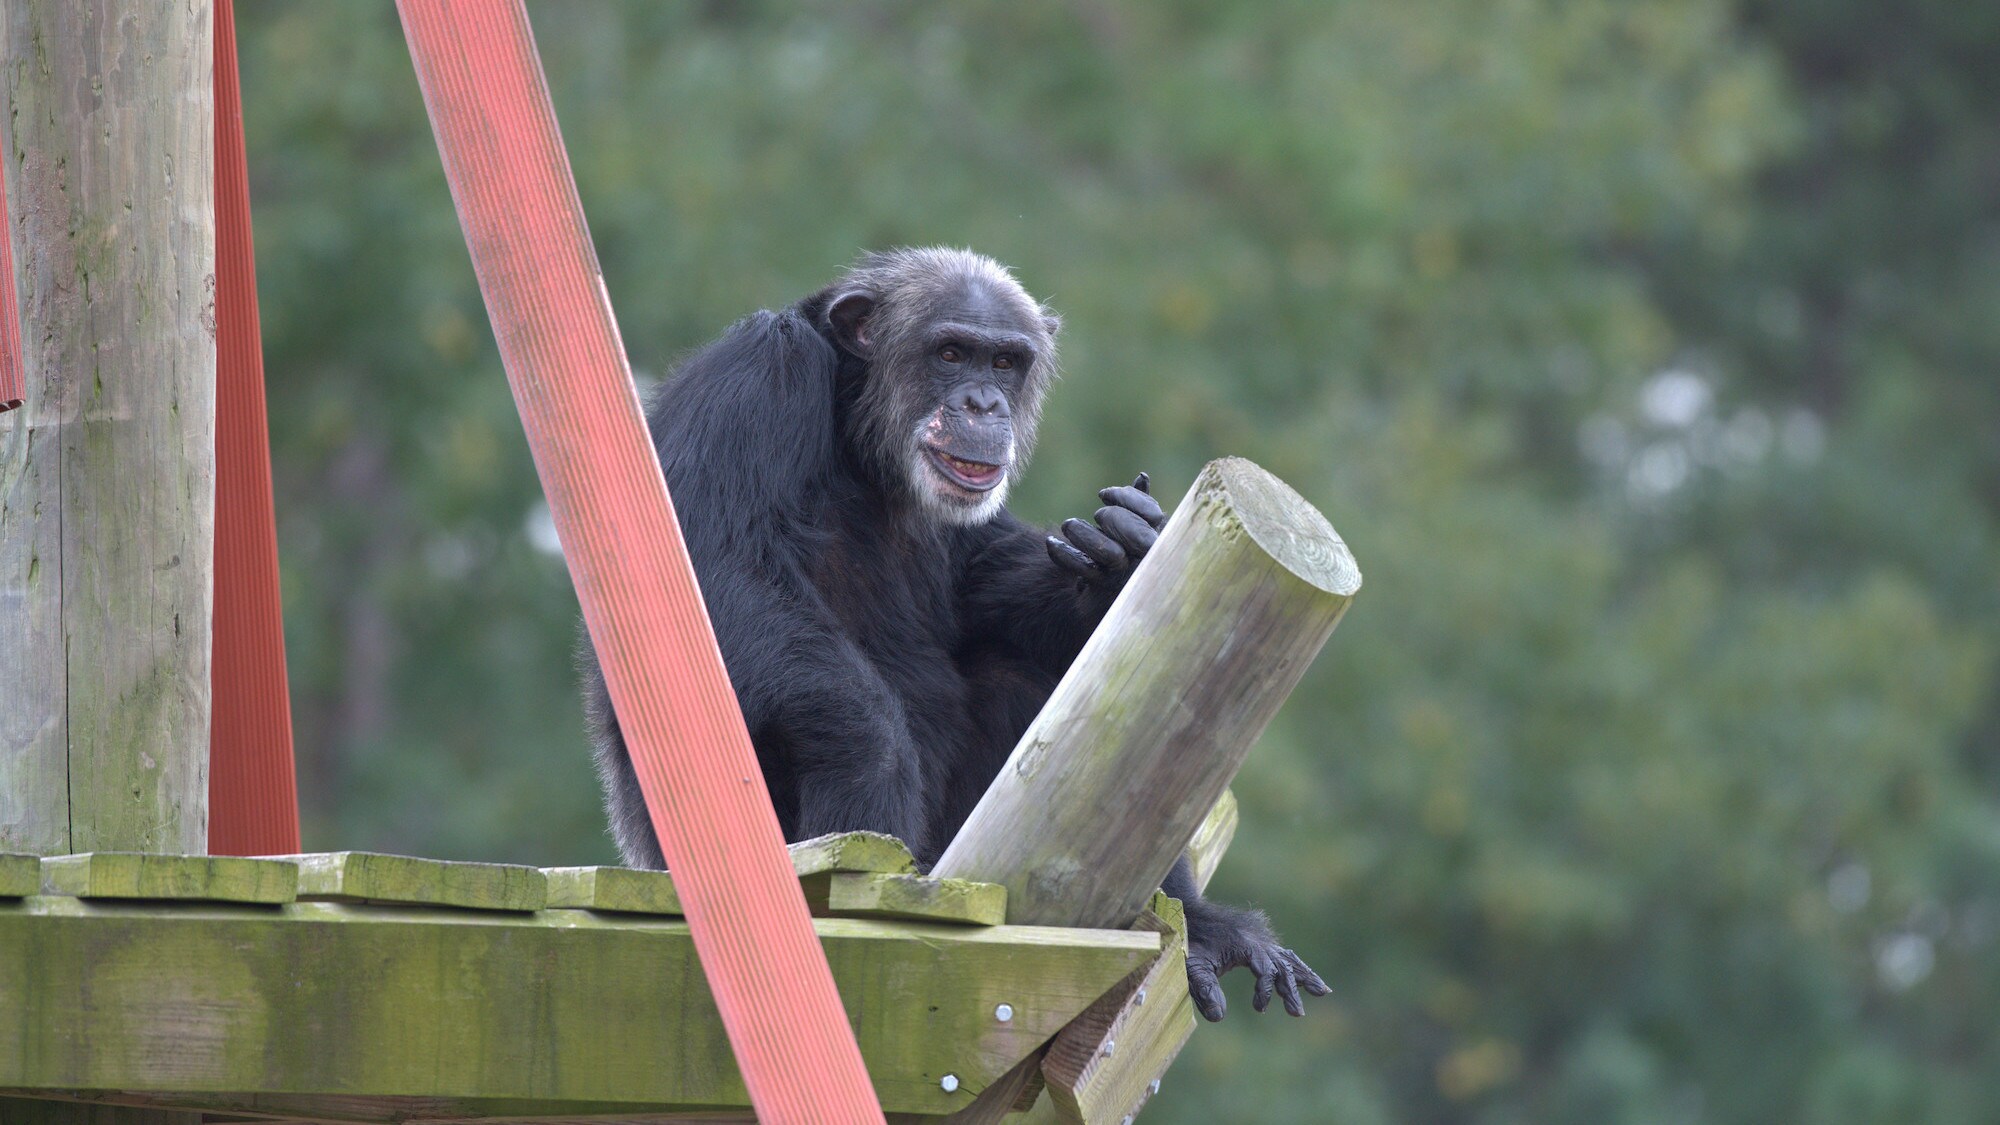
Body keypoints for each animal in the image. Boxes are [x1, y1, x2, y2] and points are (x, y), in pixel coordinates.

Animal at [580, 245, 1328, 1016]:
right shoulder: (757, 377)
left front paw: (1119, 551)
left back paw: (1203, 928)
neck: (861, 431)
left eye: (1003, 362)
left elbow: (981, 576)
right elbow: (707, 566)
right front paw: (871, 751)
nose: (982, 403)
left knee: (1027, 672)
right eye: (950, 353)